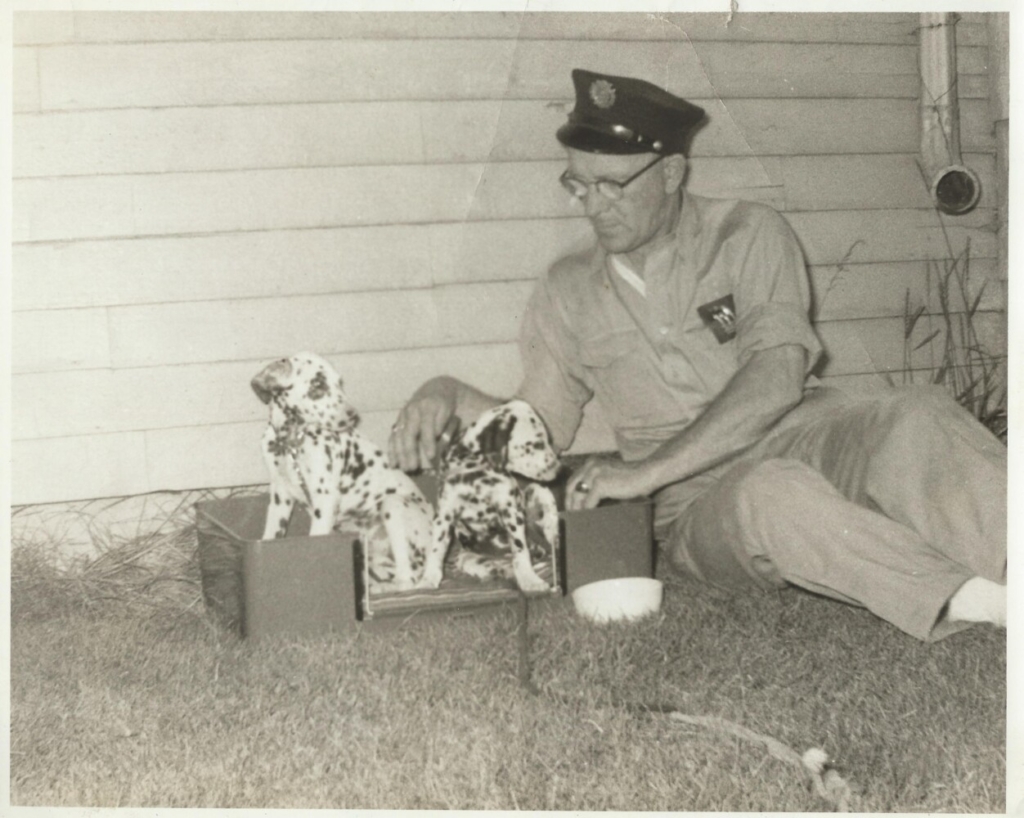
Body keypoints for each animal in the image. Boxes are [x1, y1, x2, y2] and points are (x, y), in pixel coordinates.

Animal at [251, 350, 444, 589]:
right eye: (318, 384)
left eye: (339, 383)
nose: (353, 415)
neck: (291, 442)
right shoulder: (281, 498)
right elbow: (271, 535)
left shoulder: (324, 500)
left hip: (393, 504)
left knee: (407, 580)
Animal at [432, 399, 561, 593]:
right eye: (537, 444)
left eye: (549, 440)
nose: (560, 469)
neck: (477, 471)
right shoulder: (445, 515)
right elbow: (436, 549)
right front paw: (427, 579)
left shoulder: (511, 512)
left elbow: (520, 550)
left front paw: (529, 579)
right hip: (468, 554)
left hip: (538, 492)